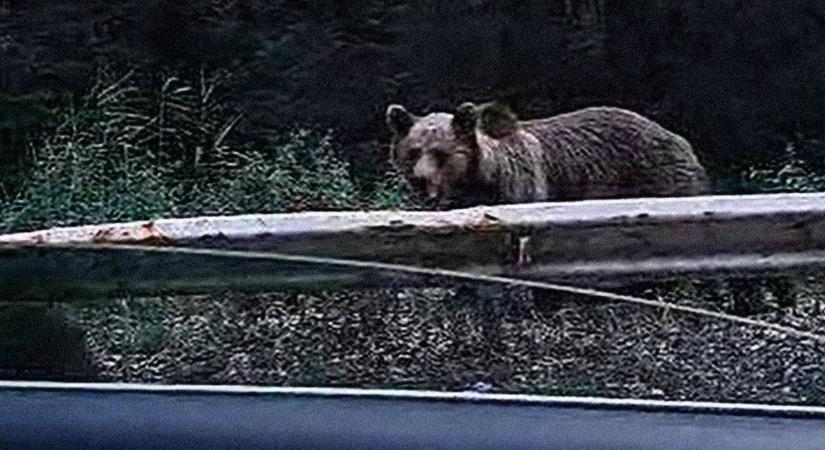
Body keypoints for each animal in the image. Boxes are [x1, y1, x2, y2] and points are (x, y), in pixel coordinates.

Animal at [386, 101, 708, 205]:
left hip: (658, 177)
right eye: (413, 152)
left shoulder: (521, 188)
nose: (419, 180)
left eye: (441, 153)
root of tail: (679, 137)